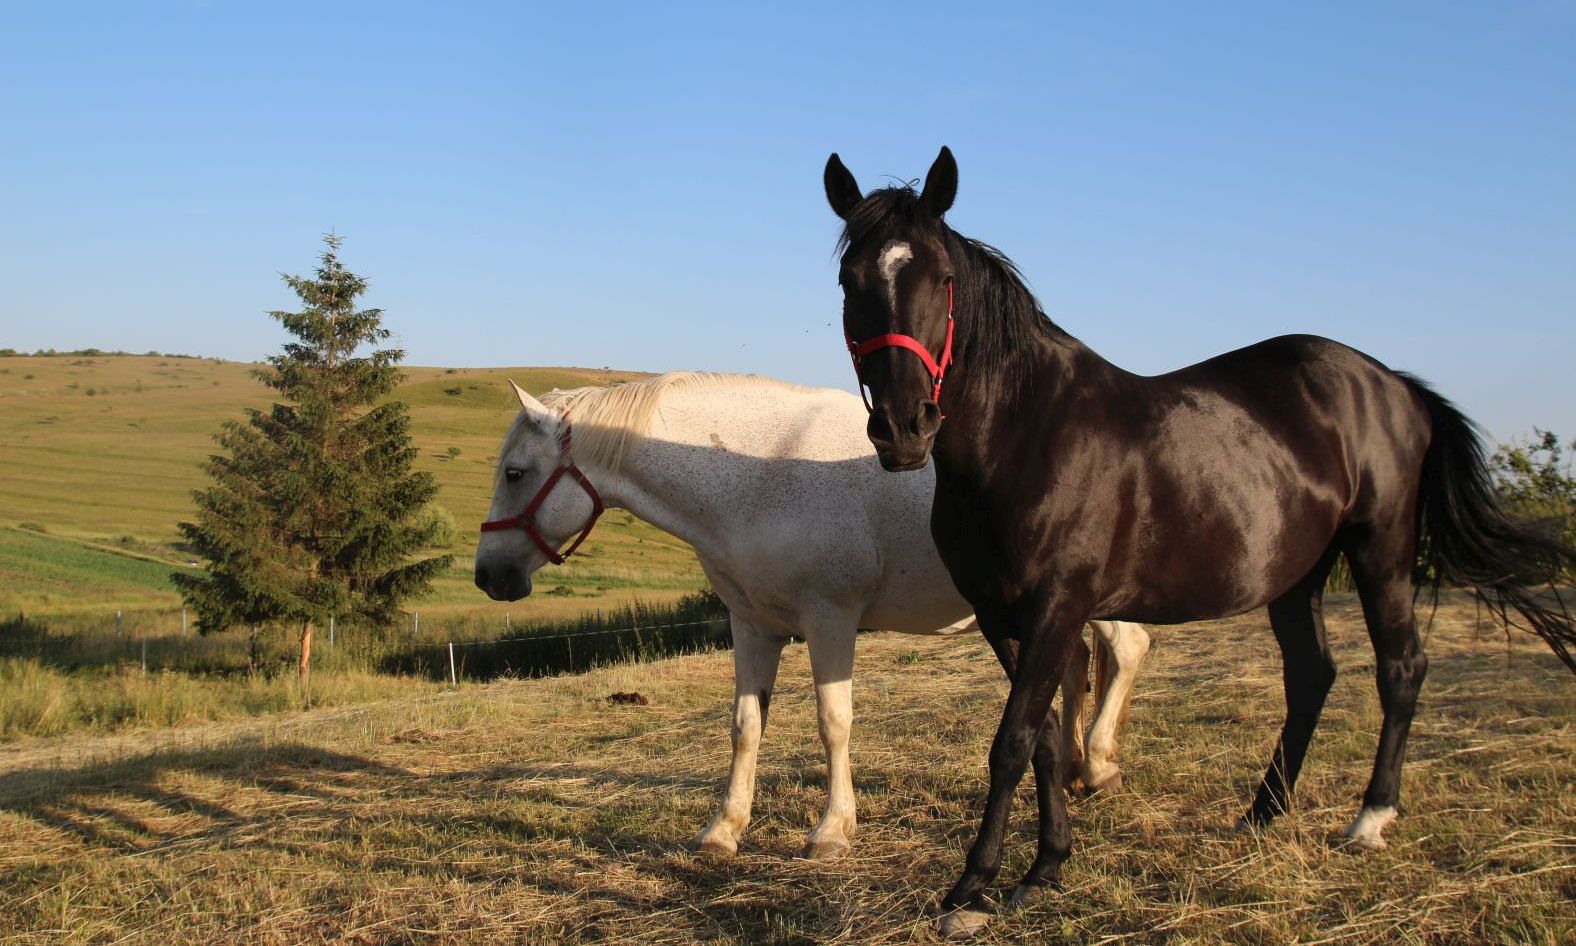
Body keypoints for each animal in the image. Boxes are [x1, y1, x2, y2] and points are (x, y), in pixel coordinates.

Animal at [472, 372, 1152, 860]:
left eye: (515, 472)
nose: (488, 576)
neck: (760, 474)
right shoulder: (752, 627)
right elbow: (745, 727)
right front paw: (724, 829)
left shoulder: (830, 621)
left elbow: (833, 723)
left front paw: (831, 830)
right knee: (1078, 663)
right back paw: (1073, 769)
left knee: (1126, 649)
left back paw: (1098, 765)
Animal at [823, 146, 1576, 938]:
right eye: (851, 281)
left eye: (941, 277)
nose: (904, 428)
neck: (1029, 432)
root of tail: (1393, 385)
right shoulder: (1005, 618)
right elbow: (1047, 740)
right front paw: (1047, 866)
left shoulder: (1057, 607)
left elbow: (1012, 743)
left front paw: (971, 890)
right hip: (1297, 577)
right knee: (1311, 676)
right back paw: (1262, 813)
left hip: (1383, 550)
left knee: (1401, 667)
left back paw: (1370, 819)